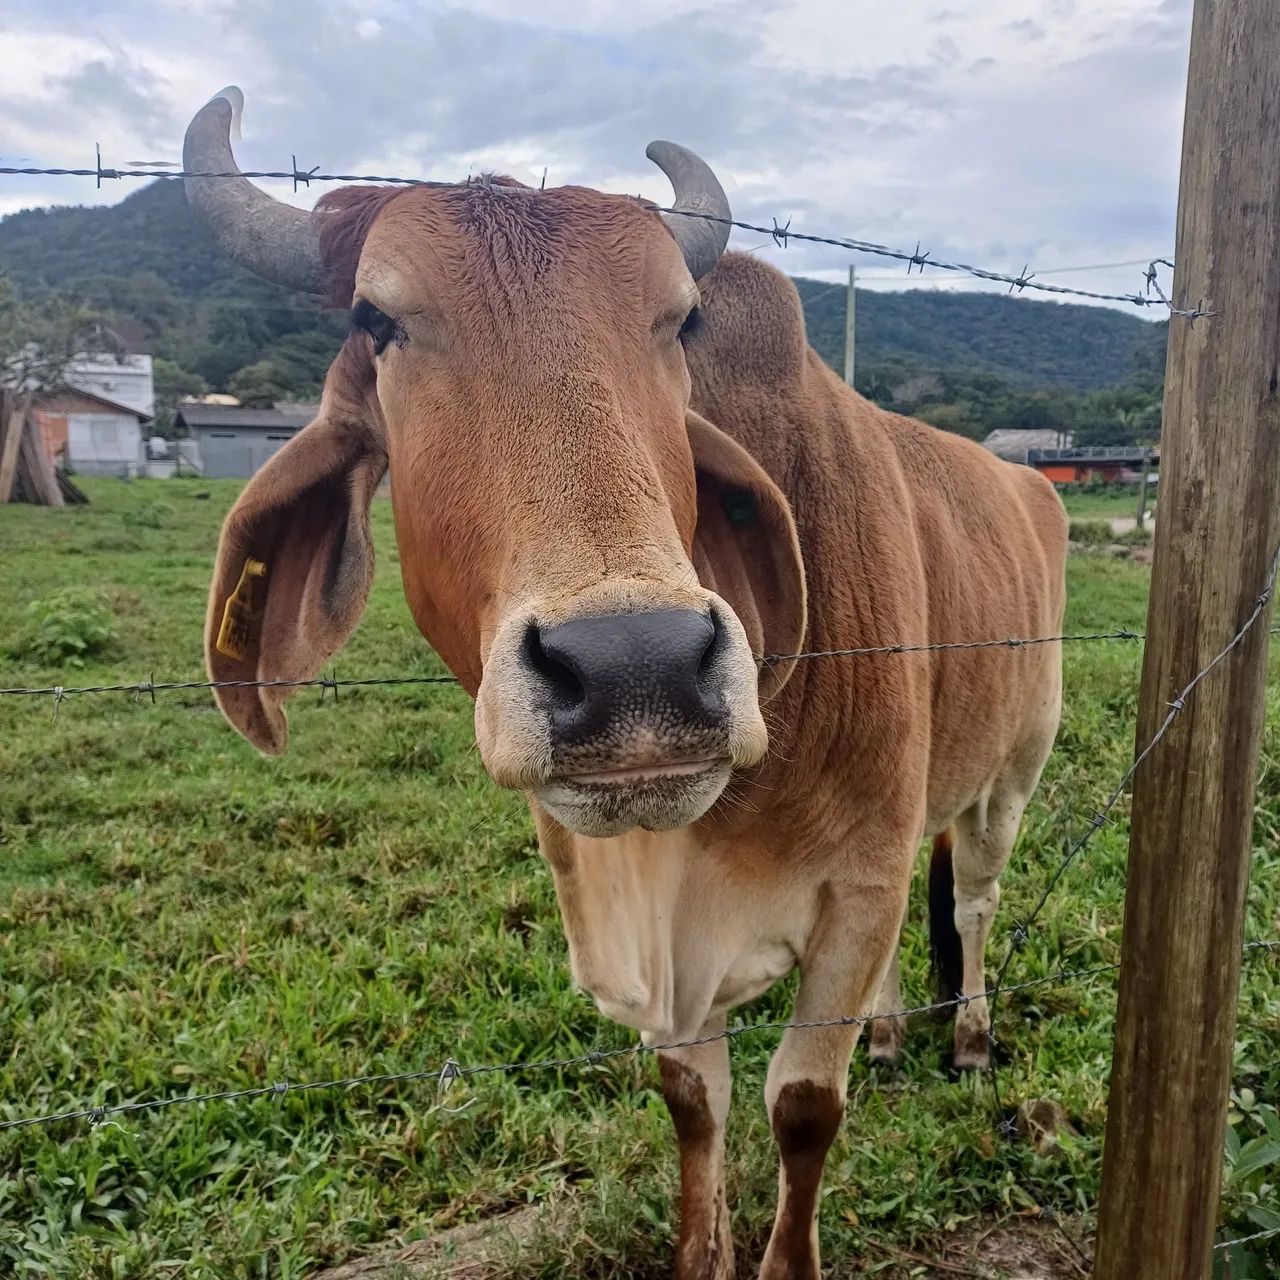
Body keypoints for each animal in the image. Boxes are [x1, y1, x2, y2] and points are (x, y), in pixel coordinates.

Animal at [183, 87, 1066, 1280]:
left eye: (675, 322)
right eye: (376, 319)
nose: (636, 667)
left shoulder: (861, 884)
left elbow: (801, 1106)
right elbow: (693, 1097)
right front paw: (703, 1248)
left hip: (1012, 775)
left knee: (974, 903)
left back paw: (968, 1039)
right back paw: (887, 1037)